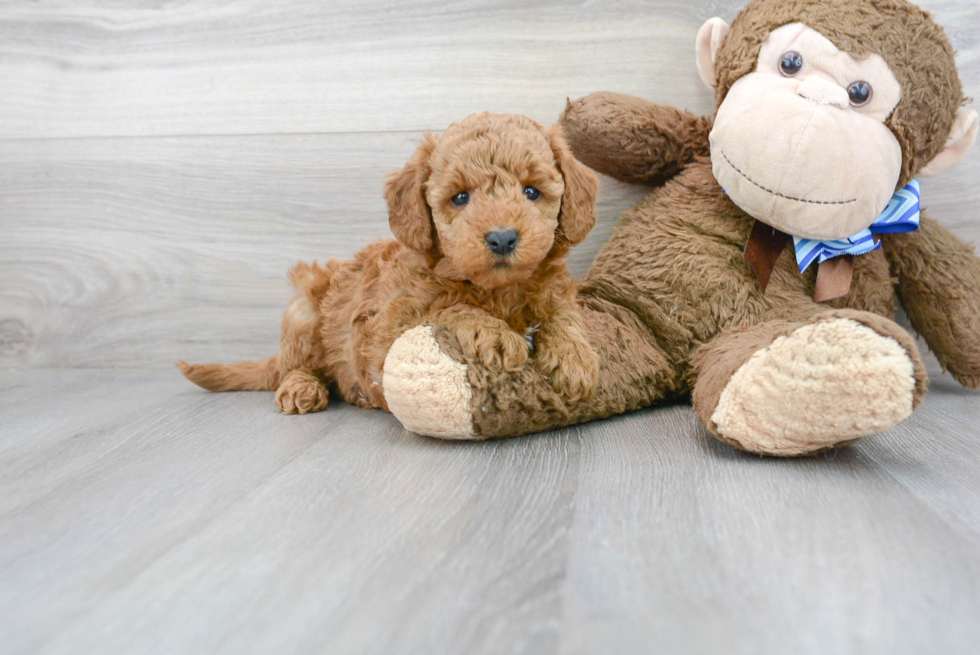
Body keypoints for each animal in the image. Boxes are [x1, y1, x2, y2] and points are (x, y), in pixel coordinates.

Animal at [180, 114, 600, 416]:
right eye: (460, 197)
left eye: (531, 191)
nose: (501, 238)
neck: (496, 290)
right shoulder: (384, 337)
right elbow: (449, 308)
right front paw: (494, 332)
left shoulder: (556, 291)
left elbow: (564, 314)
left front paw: (574, 359)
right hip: (302, 313)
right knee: (296, 366)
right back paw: (302, 388)